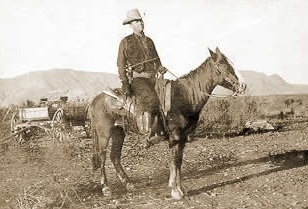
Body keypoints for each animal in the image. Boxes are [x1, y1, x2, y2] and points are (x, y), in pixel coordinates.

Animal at [88, 47, 245, 199]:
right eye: (223, 65)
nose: (243, 85)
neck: (184, 96)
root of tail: (95, 100)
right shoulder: (175, 136)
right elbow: (175, 161)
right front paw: (176, 191)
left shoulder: (182, 137)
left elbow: (179, 161)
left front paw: (180, 188)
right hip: (104, 133)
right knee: (102, 157)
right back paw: (106, 189)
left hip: (118, 132)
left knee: (114, 156)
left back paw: (129, 184)